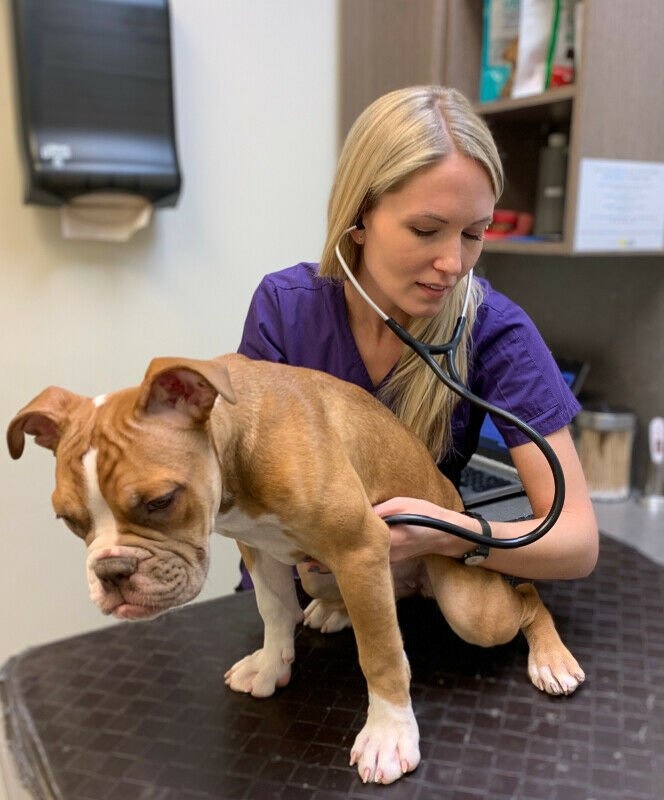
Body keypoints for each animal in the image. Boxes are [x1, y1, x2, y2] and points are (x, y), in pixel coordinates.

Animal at [7, 354, 584, 784]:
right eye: (69, 520)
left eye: (161, 501)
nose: (112, 571)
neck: (235, 443)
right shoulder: (259, 549)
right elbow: (274, 610)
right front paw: (271, 665)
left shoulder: (360, 547)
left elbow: (381, 655)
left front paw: (389, 733)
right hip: (319, 571)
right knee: (375, 598)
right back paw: (335, 611)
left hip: (471, 607)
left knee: (524, 597)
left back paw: (550, 658)